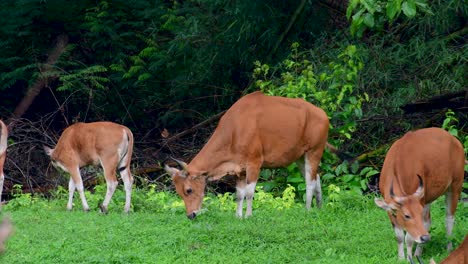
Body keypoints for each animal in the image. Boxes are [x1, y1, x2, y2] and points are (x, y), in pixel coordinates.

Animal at [165, 92, 330, 220]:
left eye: (188, 190)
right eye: (178, 192)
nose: (190, 215)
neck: (234, 130)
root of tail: (323, 114)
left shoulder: (254, 163)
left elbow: (250, 192)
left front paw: (248, 215)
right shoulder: (239, 169)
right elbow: (239, 194)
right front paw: (238, 216)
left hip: (314, 151)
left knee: (309, 181)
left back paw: (308, 209)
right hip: (300, 158)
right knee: (316, 177)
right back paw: (319, 206)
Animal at [372, 128, 464, 262]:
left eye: (417, 214)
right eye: (406, 215)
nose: (425, 238)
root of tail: (454, 139)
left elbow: (409, 238)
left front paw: (409, 257)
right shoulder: (389, 208)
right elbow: (399, 236)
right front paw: (401, 258)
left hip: (455, 186)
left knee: (449, 219)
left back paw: (449, 248)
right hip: (429, 197)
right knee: (428, 222)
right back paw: (418, 252)